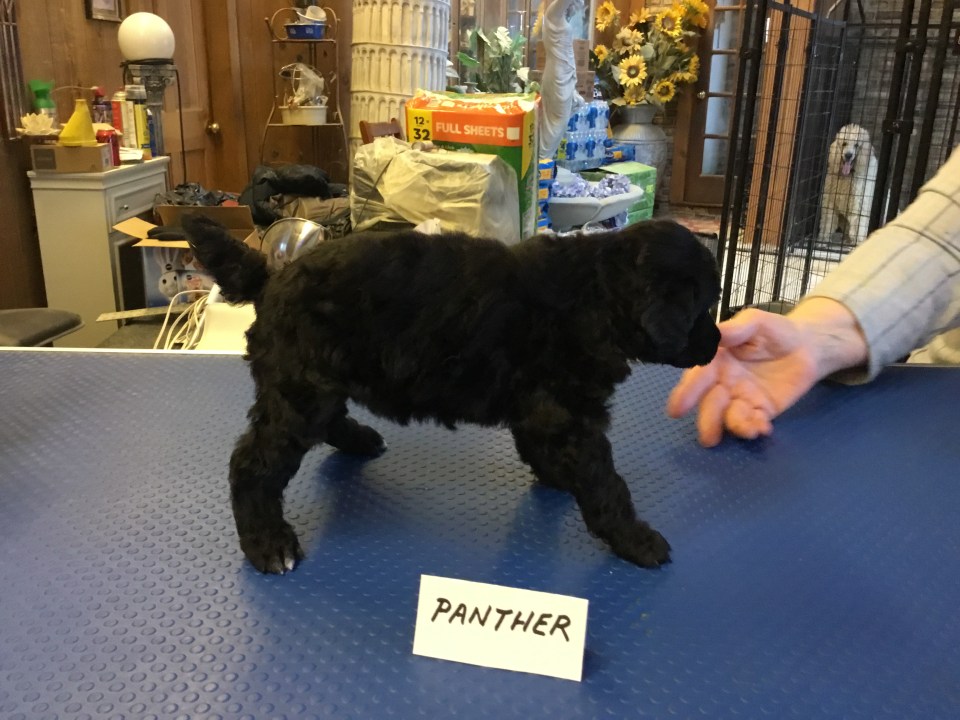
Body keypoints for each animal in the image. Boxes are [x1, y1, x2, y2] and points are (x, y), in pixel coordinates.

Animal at [183, 216, 721, 574]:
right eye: (703, 306)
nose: (716, 344)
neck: (598, 293)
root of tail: (273, 279)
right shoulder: (569, 414)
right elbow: (607, 484)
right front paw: (637, 540)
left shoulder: (543, 409)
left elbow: (546, 450)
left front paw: (557, 477)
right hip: (299, 392)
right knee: (253, 466)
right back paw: (268, 544)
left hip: (319, 380)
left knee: (328, 420)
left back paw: (360, 439)